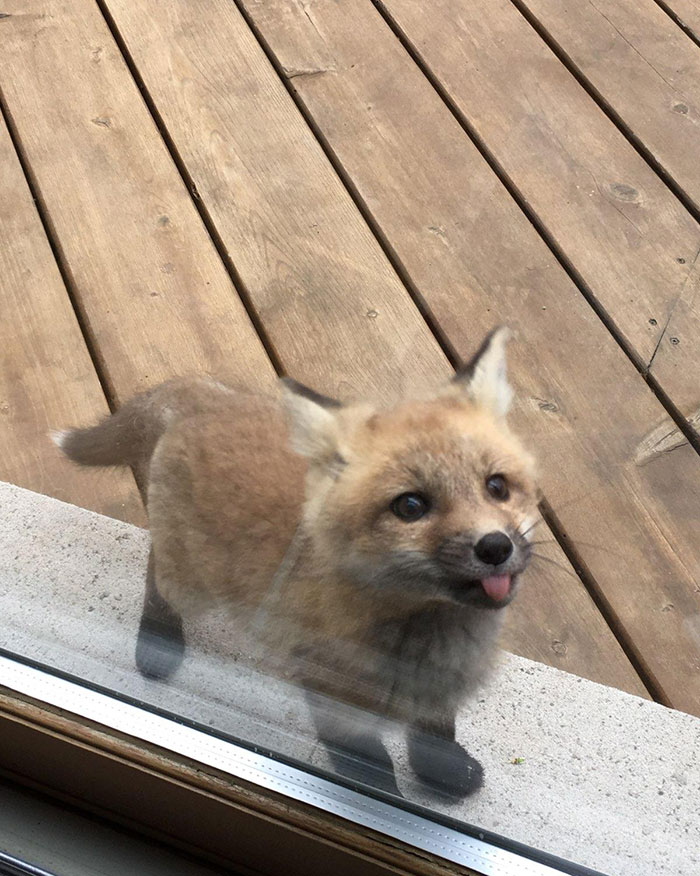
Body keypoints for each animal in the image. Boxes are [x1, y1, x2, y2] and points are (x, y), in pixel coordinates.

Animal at [54, 327, 538, 799]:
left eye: (497, 486)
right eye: (411, 506)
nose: (495, 547)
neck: (428, 636)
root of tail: (204, 397)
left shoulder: (440, 690)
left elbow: (435, 733)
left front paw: (444, 772)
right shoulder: (331, 693)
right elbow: (371, 768)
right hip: (191, 584)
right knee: (157, 574)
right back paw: (158, 641)